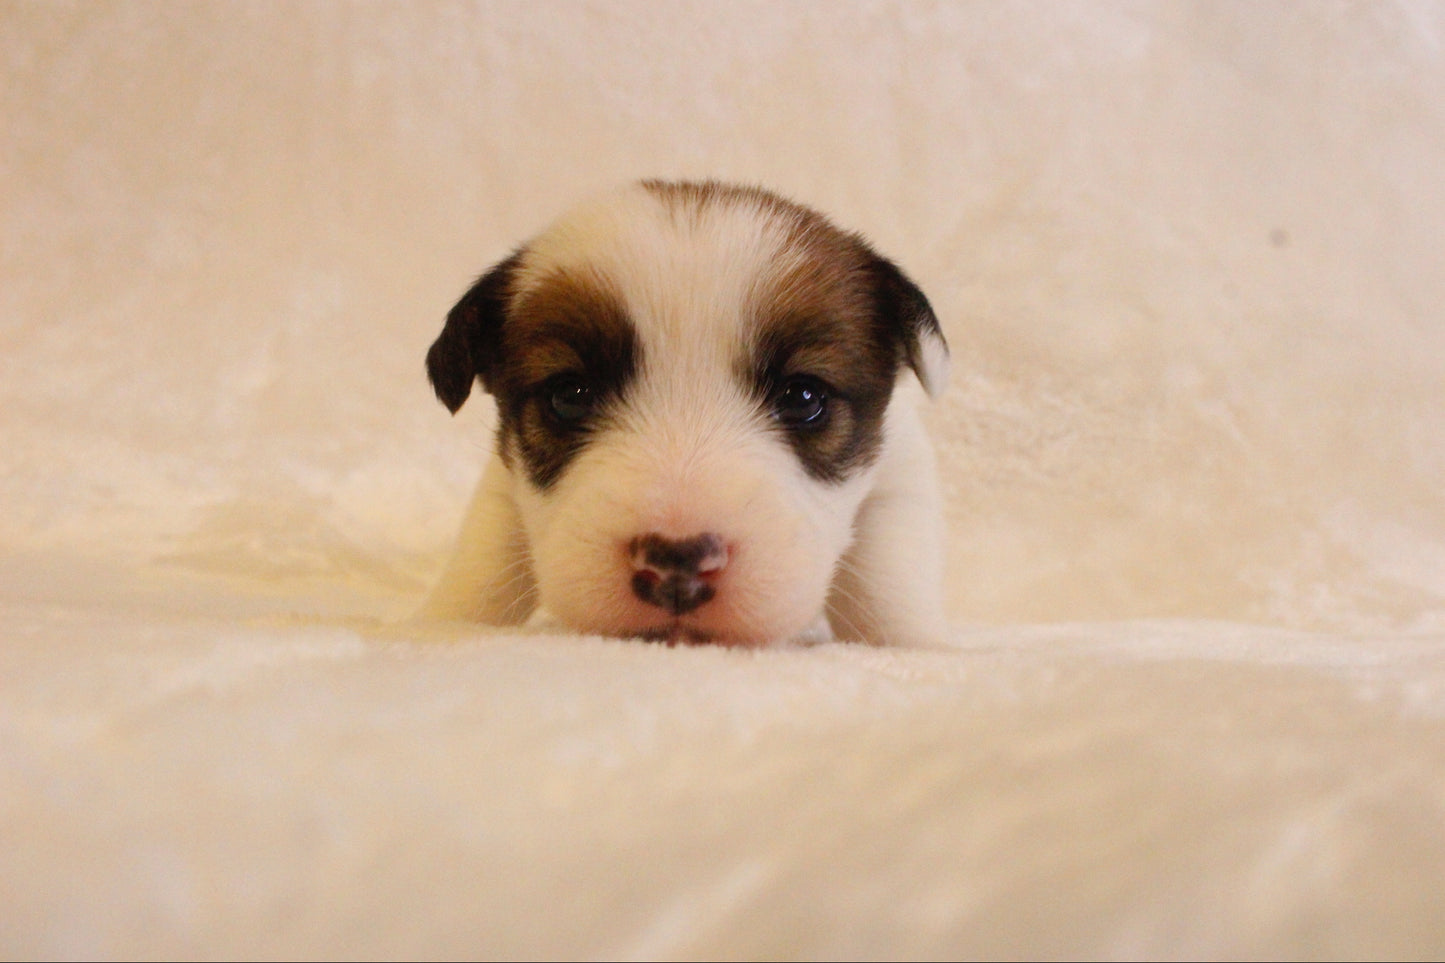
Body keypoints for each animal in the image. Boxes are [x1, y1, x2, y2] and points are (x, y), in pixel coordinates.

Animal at [421, 180, 947, 644]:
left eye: (804, 398)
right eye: (569, 396)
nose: (678, 563)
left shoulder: (900, 476)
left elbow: (889, 584)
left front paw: (922, 643)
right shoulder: (502, 485)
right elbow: (484, 567)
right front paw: (441, 625)